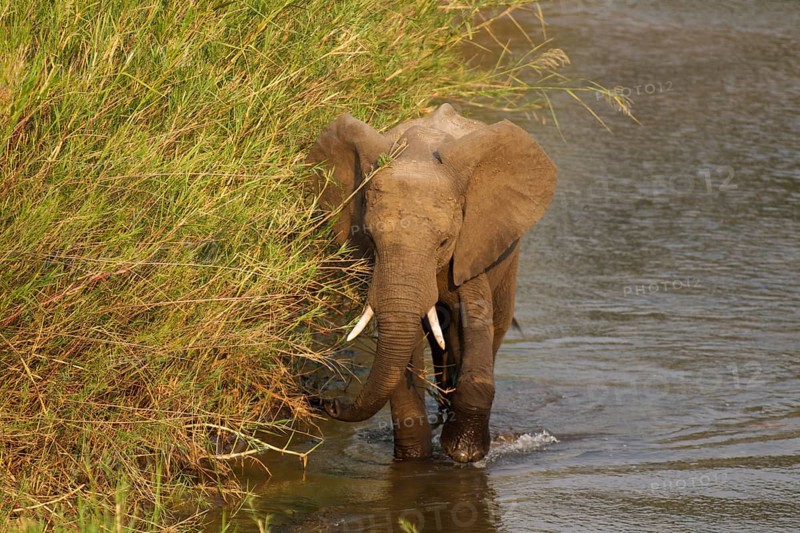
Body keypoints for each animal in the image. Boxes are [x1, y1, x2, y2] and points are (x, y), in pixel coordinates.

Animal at [307, 103, 556, 463]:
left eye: (444, 242)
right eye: (370, 237)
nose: (324, 401)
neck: (418, 154)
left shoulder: (471, 242)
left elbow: (475, 319)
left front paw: (463, 452)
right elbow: (403, 349)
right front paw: (416, 458)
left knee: (491, 327)